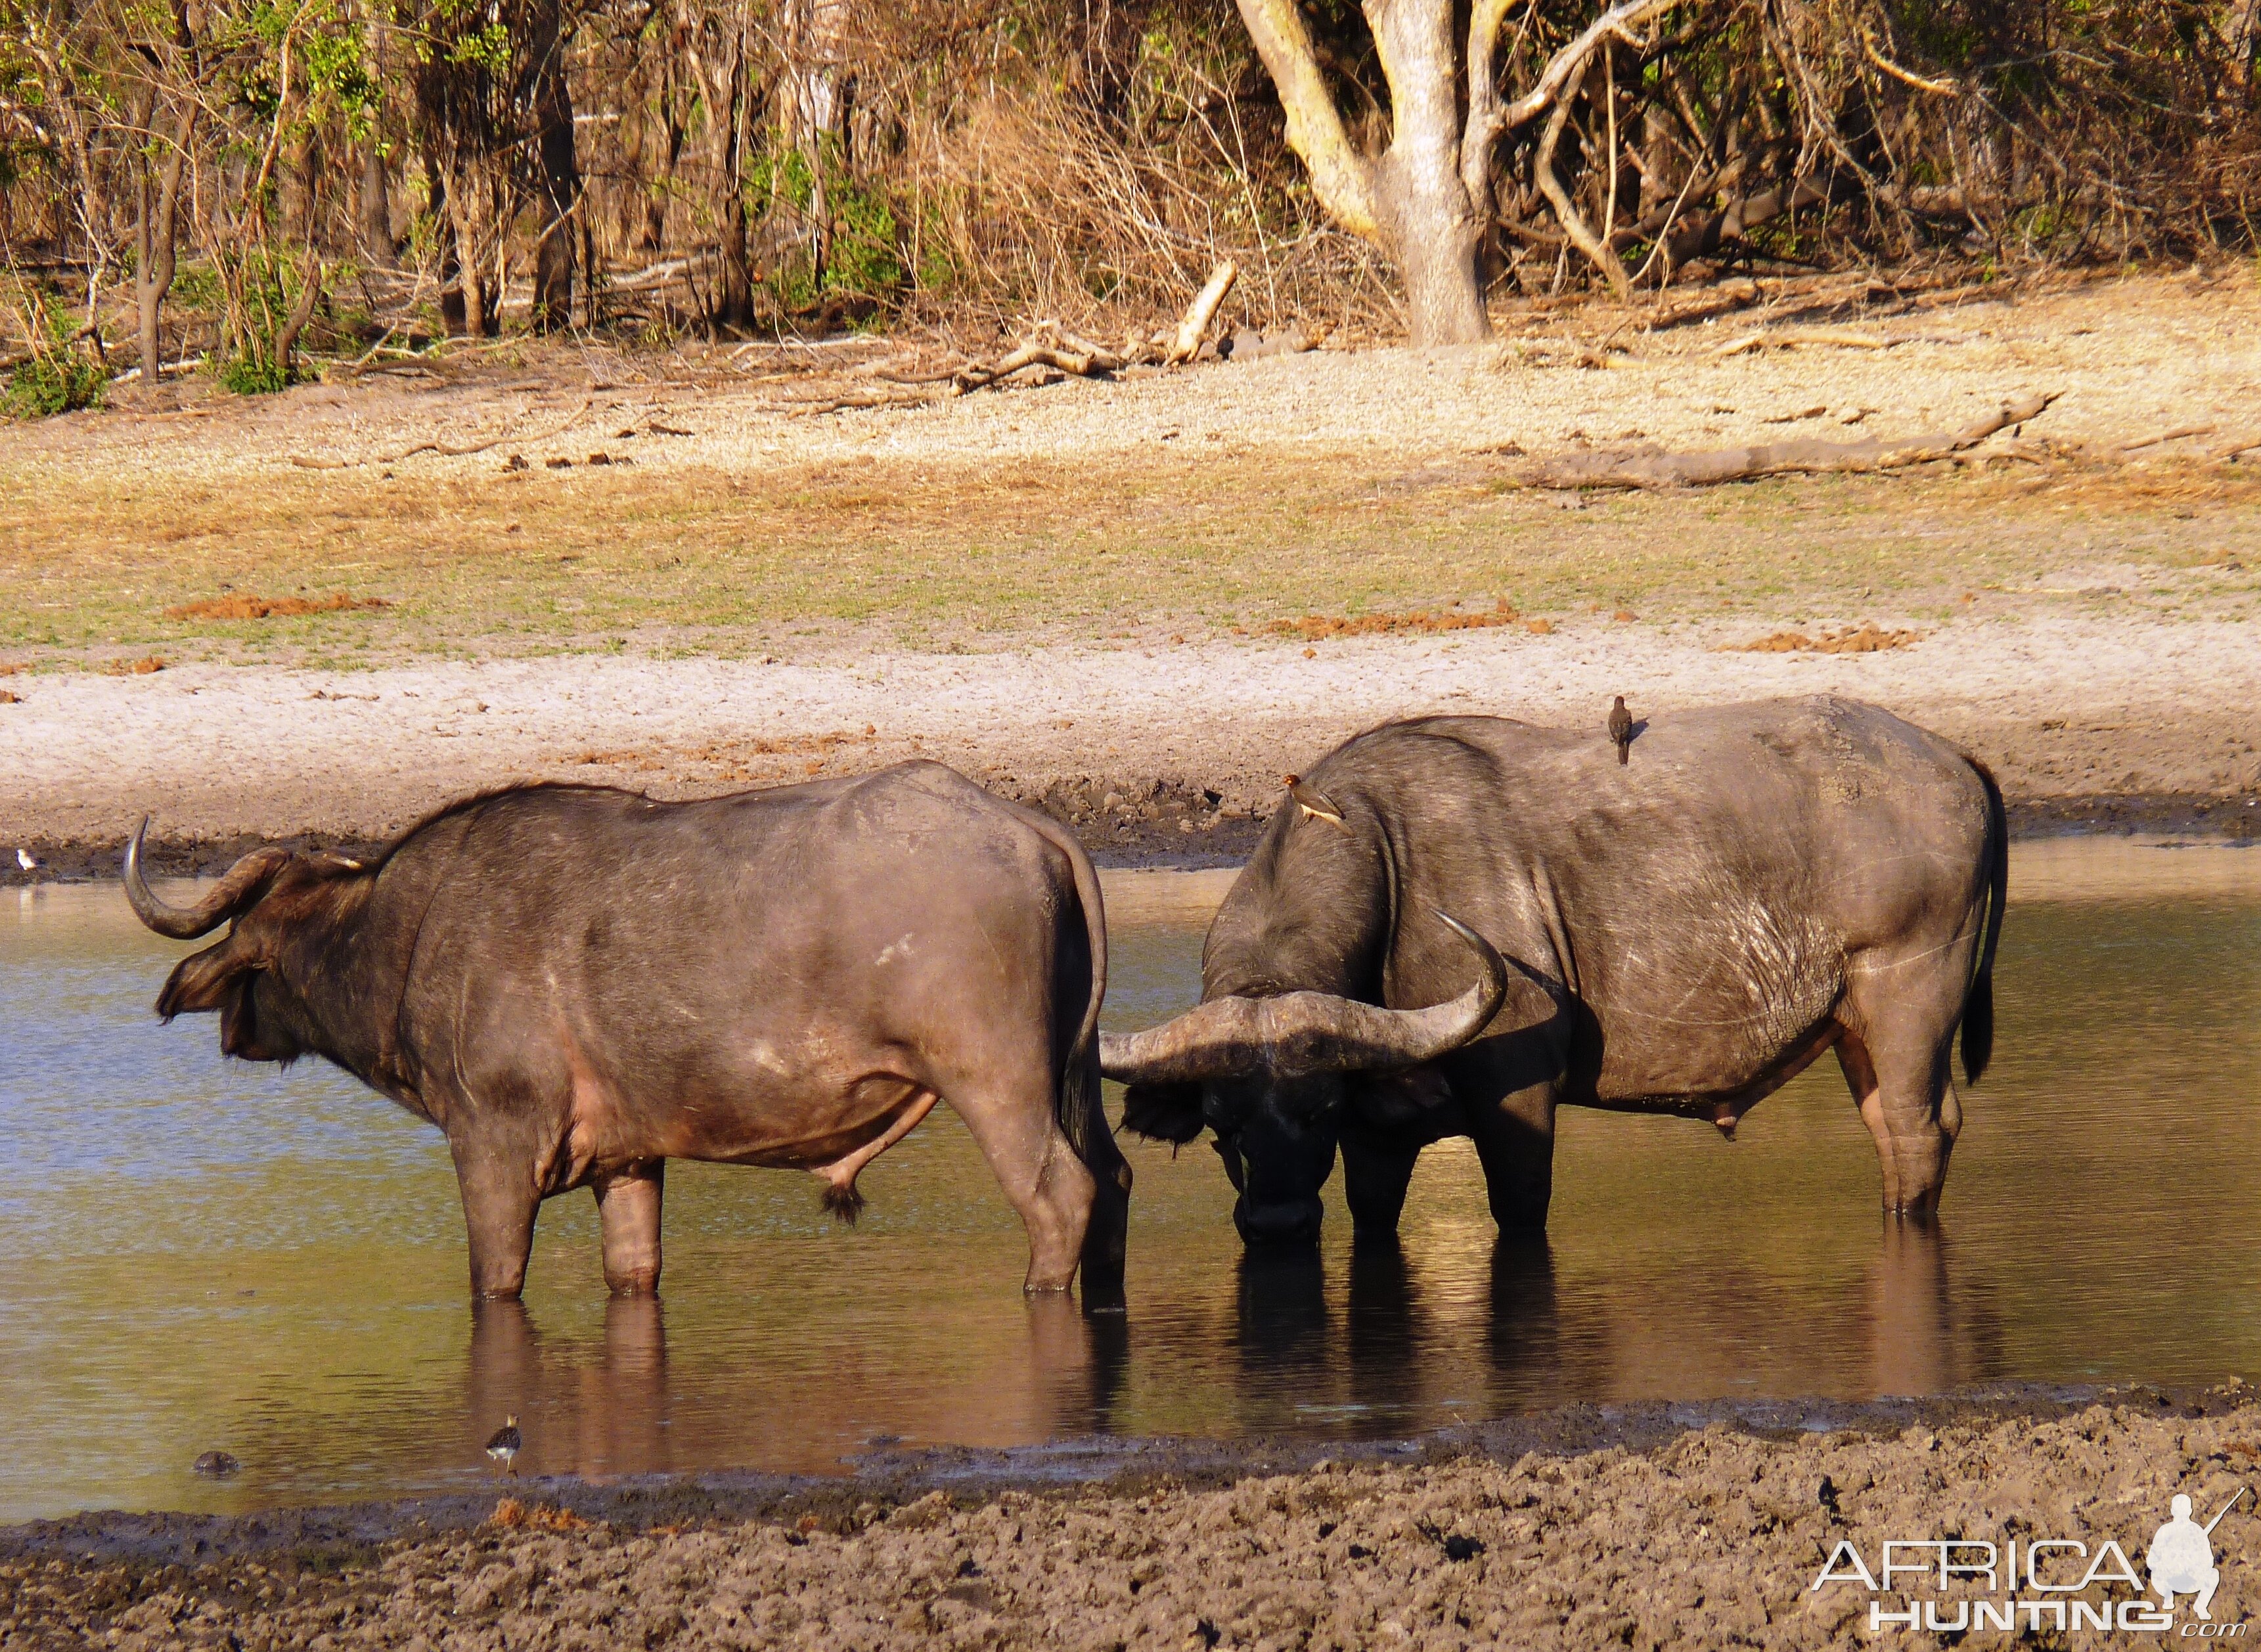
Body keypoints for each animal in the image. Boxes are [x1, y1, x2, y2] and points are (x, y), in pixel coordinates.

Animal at [123, 763, 1130, 1301]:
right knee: (1114, 1179)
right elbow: (633, 1269)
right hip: (1070, 1076)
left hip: (998, 1086)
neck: (406, 936)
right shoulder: (630, 1164)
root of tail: (1023, 824)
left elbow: (495, 1278)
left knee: (1061, 1194)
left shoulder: (493, 1149)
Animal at [1103, 696, 2007, 1256]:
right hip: (1854, 1027)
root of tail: (1957, 761)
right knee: (1893, 1129)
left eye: (1315, 1109)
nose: (1278, 1220)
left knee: (1921, 1130)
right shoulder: (1377, 1137)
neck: (1394, 871)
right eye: (1218, 1122)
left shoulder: (1518, 1102)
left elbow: (1518, 1210)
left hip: (1910, 999)